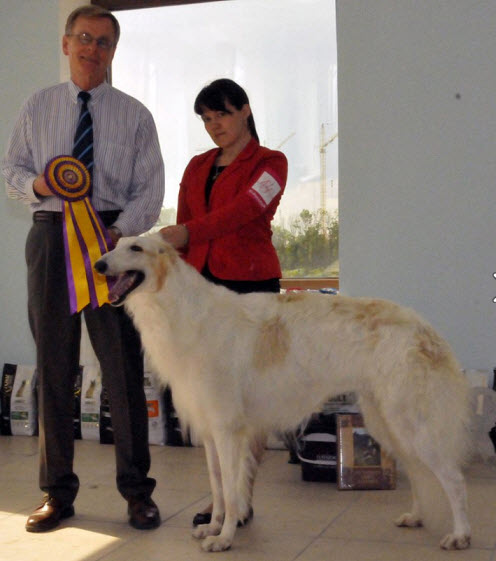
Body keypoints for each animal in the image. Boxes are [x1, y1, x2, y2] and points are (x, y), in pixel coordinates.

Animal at [95, 233, 470, 552]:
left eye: (136, 248)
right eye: (115, 244)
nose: (98, 265)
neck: (184, 312)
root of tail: (426, 330)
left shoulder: (229, 429)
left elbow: (231, 490)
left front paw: (224, 538)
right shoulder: (210, 431)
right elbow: (217, 487)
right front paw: (212, 527)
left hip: (412, 423)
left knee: (453, 479)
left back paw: (460, 535)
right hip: (387, 423)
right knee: (420, 474)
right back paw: (416, 517)